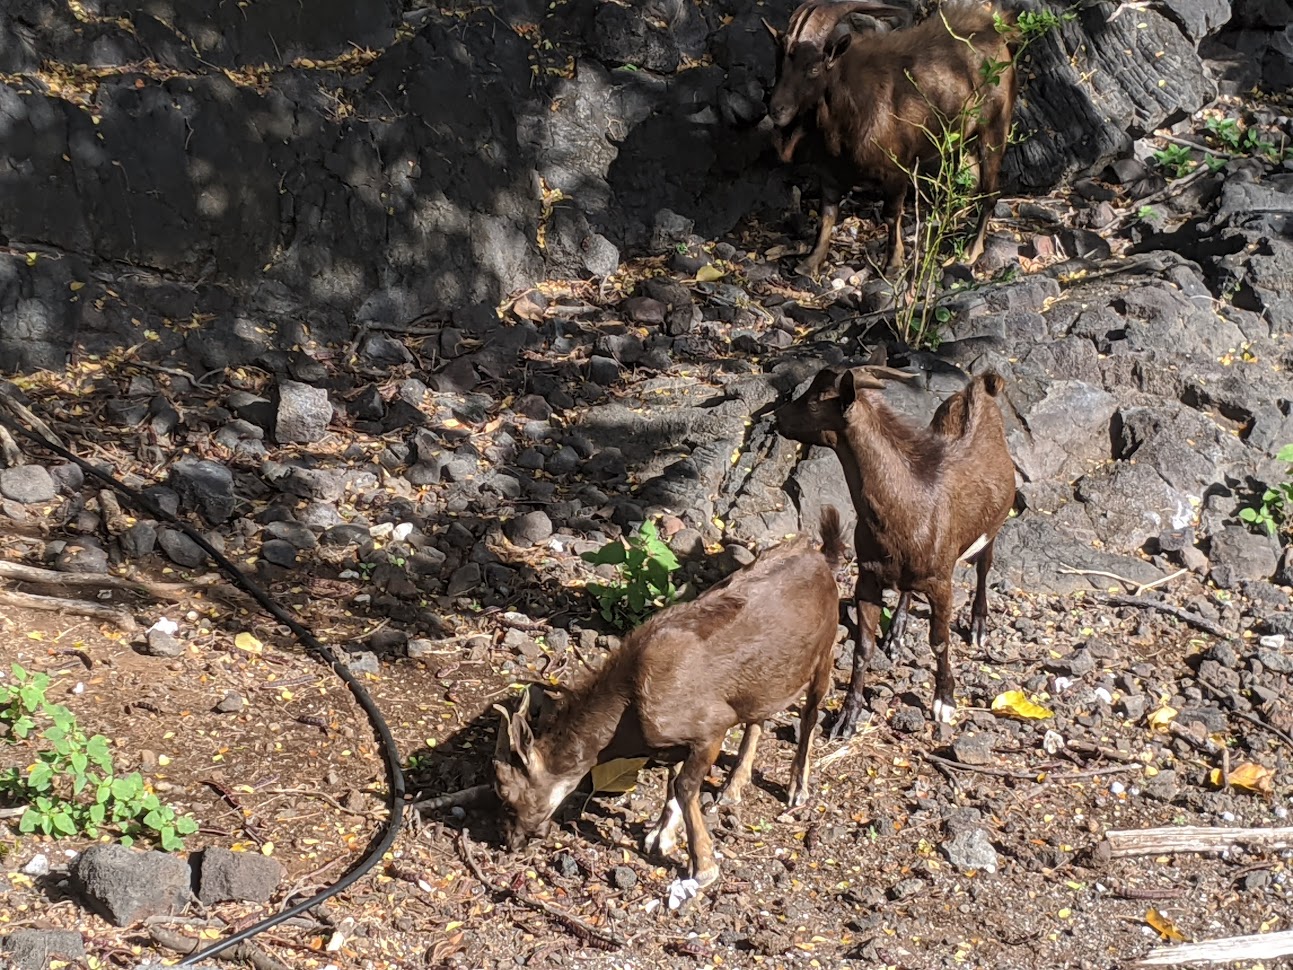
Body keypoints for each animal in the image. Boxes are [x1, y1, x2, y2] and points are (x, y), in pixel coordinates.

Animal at [491, 512, 848, 894]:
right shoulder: (678, 737)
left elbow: (685, 786)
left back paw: (797, 788)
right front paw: (660, 836)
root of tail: (823, 558)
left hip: (826, 648)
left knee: (811, 713)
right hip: (766, 680)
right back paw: (732, 789)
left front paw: (702, 865)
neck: (629, 709)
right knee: (759, 715)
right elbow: (673, 780)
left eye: (507, 796)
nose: (510, 841)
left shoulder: (711, 726)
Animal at [760, 0, 1013, 276]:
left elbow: (892, 214)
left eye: (814, 68)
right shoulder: (829, 170)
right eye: (779, 65)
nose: (777, 109)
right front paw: (810, 263)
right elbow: (827, 213)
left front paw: (893, 263)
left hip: (995, 127)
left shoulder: (897, 169)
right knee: (973, 178)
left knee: (990, 189)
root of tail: (996, 32)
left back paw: (971, 251)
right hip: (961, 137)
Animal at [770, 364, 1013, 734]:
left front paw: (945, 701)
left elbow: (939, 640)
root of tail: (982, 389)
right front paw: (846, 716)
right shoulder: (868, 577)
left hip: (993, 526)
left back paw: (978, 626)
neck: (909, 508)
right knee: (906, 590)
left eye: (815, 400)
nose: (778, 417)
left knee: (984, 565)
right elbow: (863, 647)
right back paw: (896, 633)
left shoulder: (941, 581)